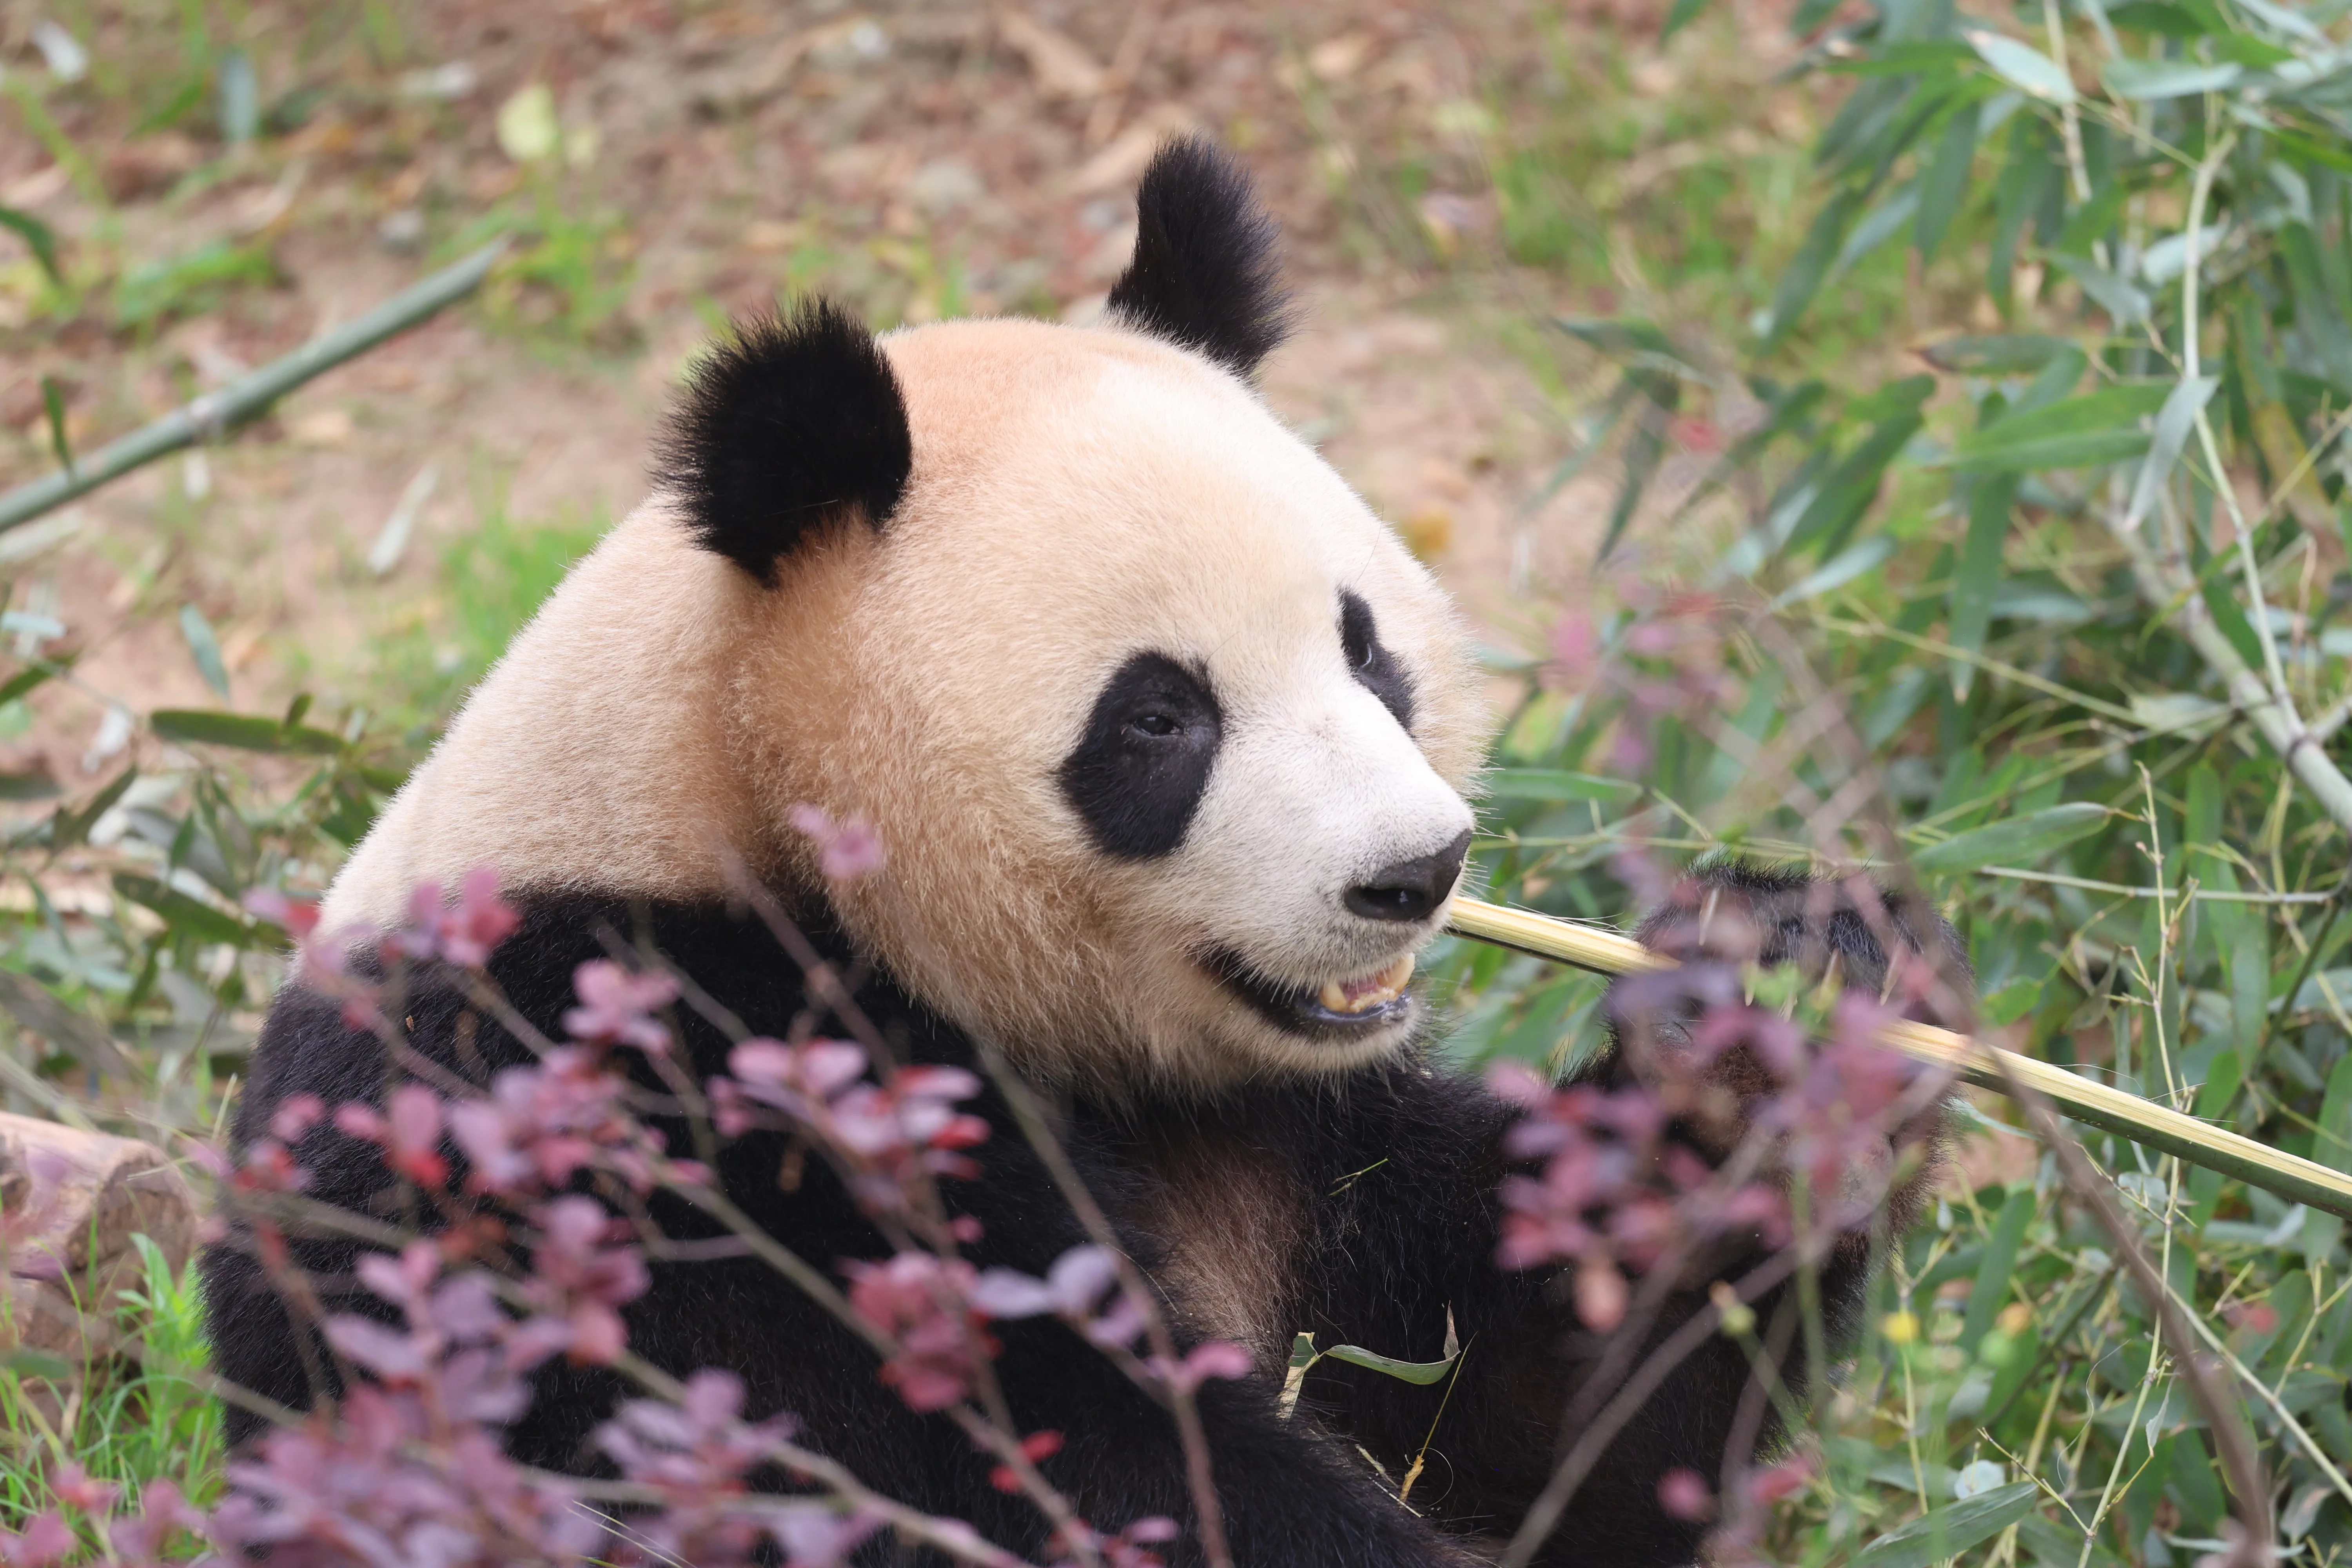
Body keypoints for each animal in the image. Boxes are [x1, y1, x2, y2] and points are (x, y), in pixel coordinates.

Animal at [202, 140, 1958, 1567]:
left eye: (1367, 649)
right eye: (1160, 719)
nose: (1413, 872)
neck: (740, 809)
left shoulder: (1295, 1139)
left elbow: (1530, 1420)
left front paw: (1775, 1022)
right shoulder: (621, 1090)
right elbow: (1012, 1453)